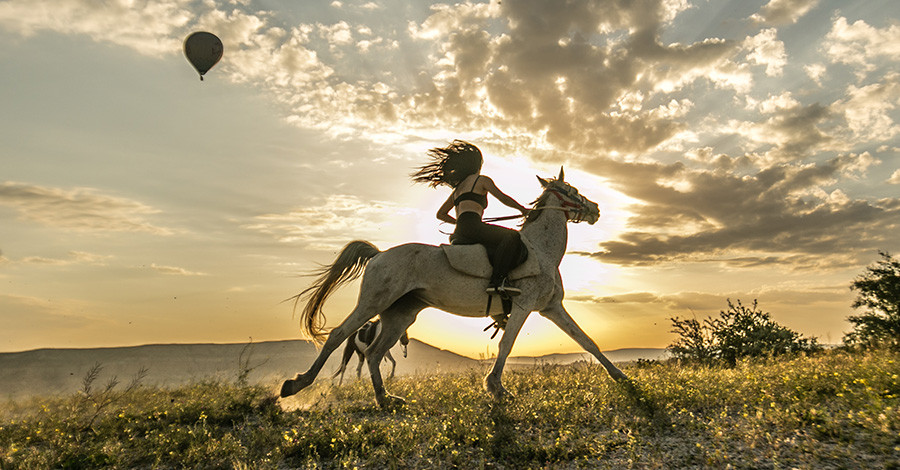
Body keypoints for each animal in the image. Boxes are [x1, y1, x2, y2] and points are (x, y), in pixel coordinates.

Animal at [280, 168, 628, 408]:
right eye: (572, 190)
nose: (596, 209)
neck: (540, 250)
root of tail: (379, 254)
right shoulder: (524, 306)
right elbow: (506, 346)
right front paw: (496, 388)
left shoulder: (551, 308)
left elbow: (588, 342)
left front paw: (623, 379)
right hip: (373, 304)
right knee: (339, 335)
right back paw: (296, 385)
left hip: (400, 315)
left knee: (375, 353)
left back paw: (385, 399)